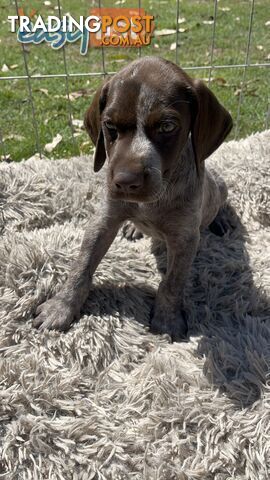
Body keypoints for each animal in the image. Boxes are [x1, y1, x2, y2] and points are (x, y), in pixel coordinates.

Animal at [33, 56, 232, 340]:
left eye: (167, 126)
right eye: (109, 126)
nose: (126, 182)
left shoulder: (185, 239)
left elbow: (172, 283)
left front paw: (167, 319)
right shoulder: (103, 220)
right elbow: (81, 267)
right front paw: (62, 306)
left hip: (218, 185)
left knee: (220, 201)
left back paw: (220, 220)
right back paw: (134, 227)